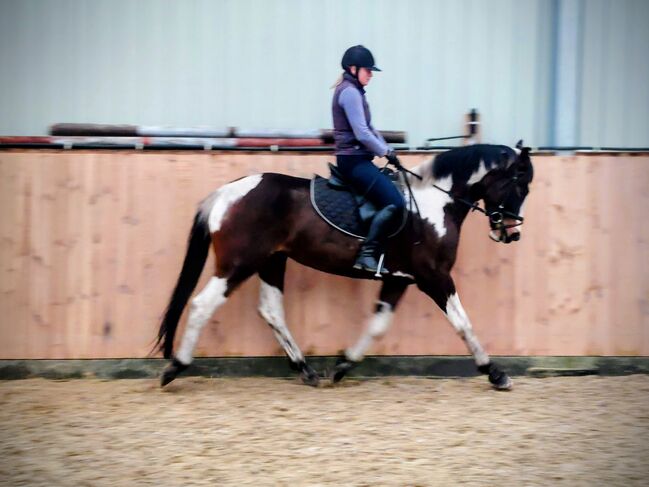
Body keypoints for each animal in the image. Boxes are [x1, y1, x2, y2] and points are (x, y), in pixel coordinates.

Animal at [155, 141, 534, 390]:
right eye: (520, 184)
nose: (512, 233)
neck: (433, 205)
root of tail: (224, 193)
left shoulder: (399, 279)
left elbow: (378, 326)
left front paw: (343, 365)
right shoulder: (433, 276)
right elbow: (463, 323)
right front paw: (495, 373)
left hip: (272, 261)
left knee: (271, 311)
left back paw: (306, 370)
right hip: (239, 263)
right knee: (203, 305)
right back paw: (175, 368)